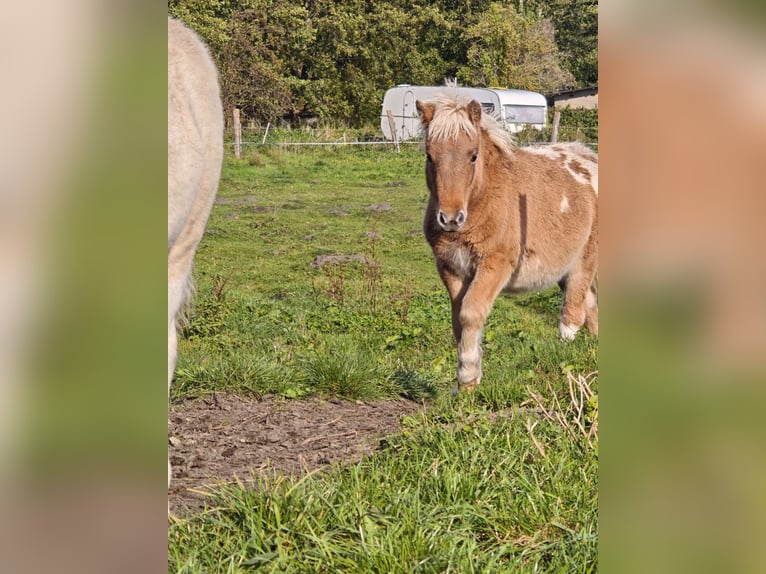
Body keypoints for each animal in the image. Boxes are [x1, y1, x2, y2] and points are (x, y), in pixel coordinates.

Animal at [416, 96, 598, 392]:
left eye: (473, 155)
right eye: (429, 156)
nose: (451, 218)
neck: (483, 200)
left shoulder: (495, 264)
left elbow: (471, 313)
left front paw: (467, 379)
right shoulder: (450, 269)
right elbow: (458, 320)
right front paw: (466, 384)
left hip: (584, 261)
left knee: (572, 314)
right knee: (591, 306)